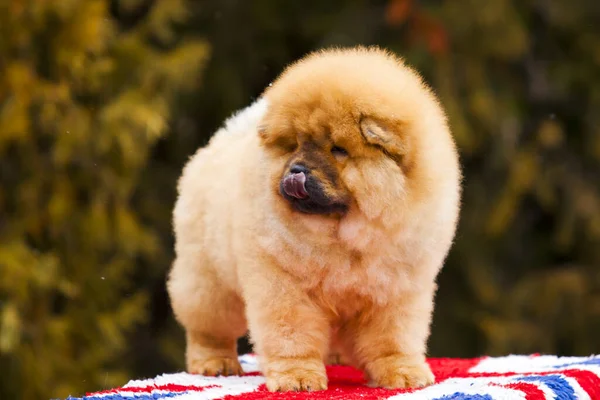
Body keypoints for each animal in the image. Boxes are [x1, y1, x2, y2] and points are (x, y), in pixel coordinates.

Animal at [166, 46, 462, 390]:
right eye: (294, 145)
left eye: (338, 150)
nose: (296, 170)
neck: (344, 235)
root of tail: (218, 141)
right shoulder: (284, 284)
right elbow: (292, 335)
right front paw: (298, 377)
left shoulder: (396, 289)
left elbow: (392, 337)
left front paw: (402, 372)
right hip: (210, 279)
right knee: (208, 327)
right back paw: (215, 363)